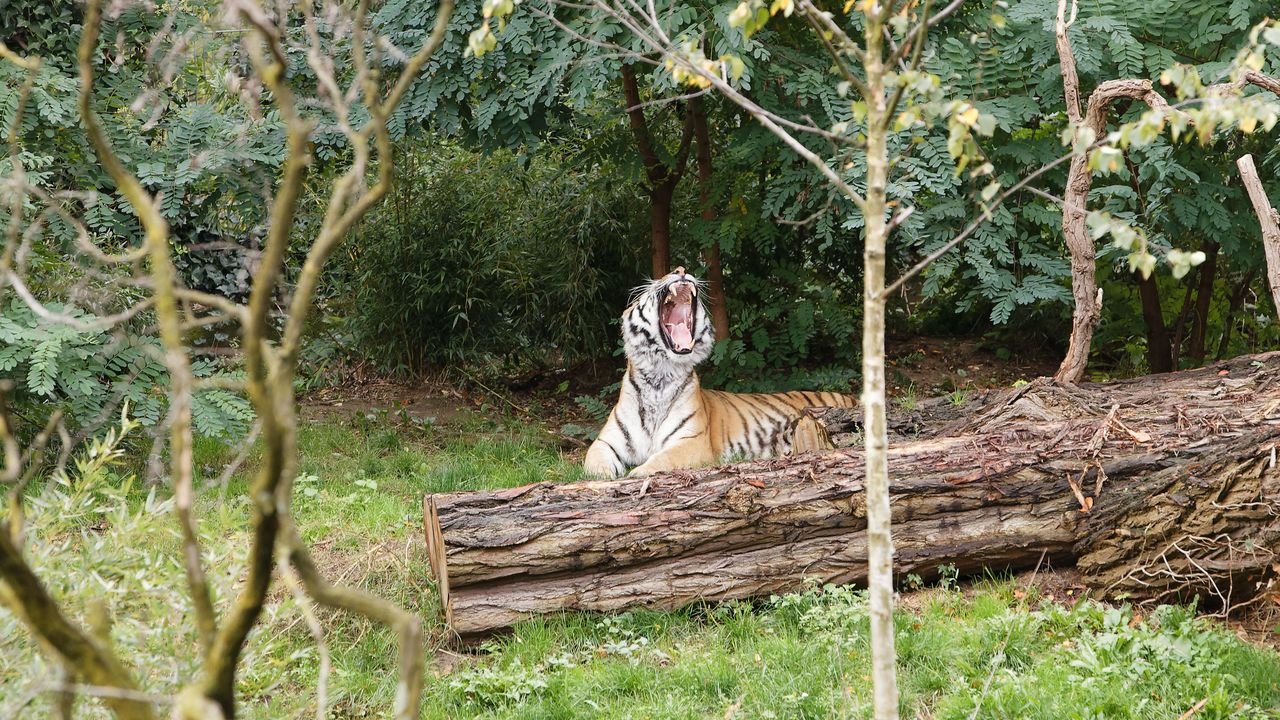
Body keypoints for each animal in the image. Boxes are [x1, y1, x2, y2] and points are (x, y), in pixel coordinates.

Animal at [586, 263, 855, 476]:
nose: (680, 269)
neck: (660, 376)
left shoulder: (691, 442)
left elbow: (661, 459)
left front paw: (635, 474)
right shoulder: (605, 442)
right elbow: (593, 464)